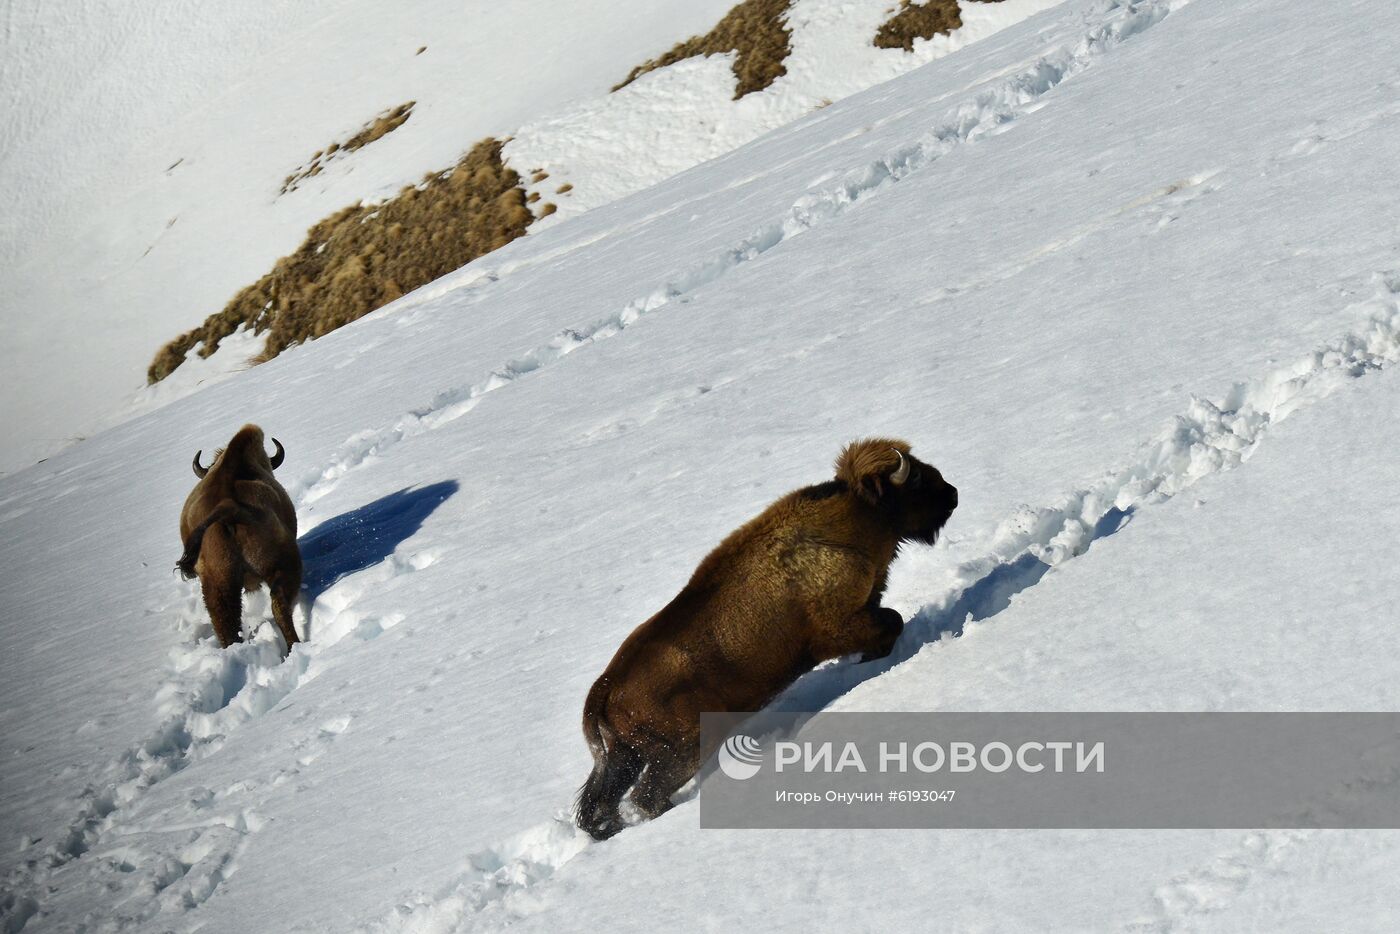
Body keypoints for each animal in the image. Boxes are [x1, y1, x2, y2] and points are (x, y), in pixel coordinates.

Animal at [574, 439, 957, 840]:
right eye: (915, 477)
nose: (952, 494)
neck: (855, 516)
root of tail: (606, 684)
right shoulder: (839, 628)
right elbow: (892, 623)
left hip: (625, 758)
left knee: (603, 803)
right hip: (685, 749)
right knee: (645, 797)